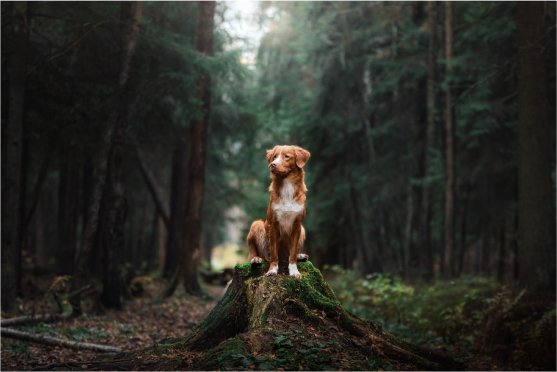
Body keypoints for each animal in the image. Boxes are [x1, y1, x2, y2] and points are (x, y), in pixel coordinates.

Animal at [247, 145, 310, 280]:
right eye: (274, 156)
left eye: (286, 156)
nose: (273, 164)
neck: (287, 186)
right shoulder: (273, 225)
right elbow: (274, 254)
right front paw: (272, 271)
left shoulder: (297, 225)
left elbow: (292, 254)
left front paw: (294, 271)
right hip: (256, 224)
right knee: (261, 256)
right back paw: (256, 259)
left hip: (303, 229)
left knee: (289, 255)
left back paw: (300, 256)